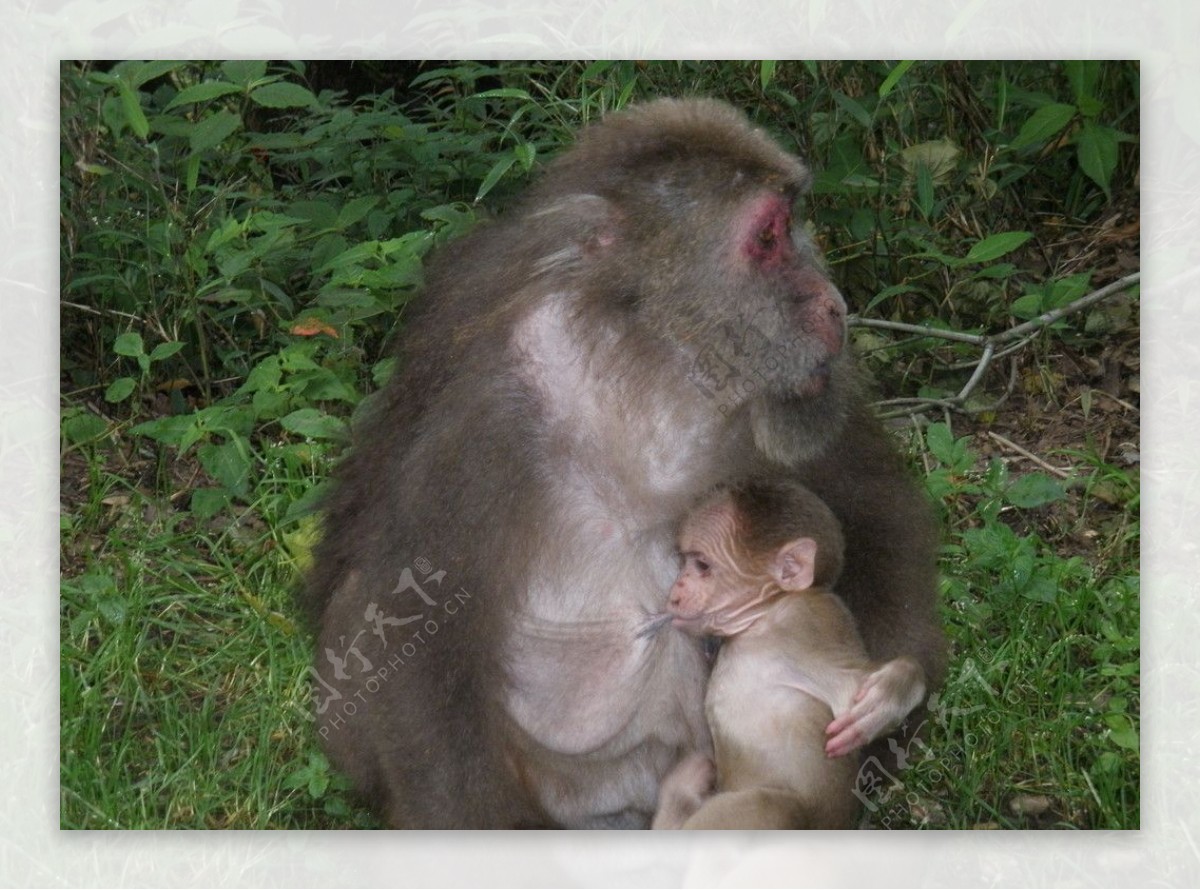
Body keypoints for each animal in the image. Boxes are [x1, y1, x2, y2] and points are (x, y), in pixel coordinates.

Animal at [657, 477, 926, 834]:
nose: (674, 594)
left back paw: (677, 800)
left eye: (701, 565)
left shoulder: (808, 622)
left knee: (774, 807)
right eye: (683, 560)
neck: (758, 621)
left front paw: (888, 696)